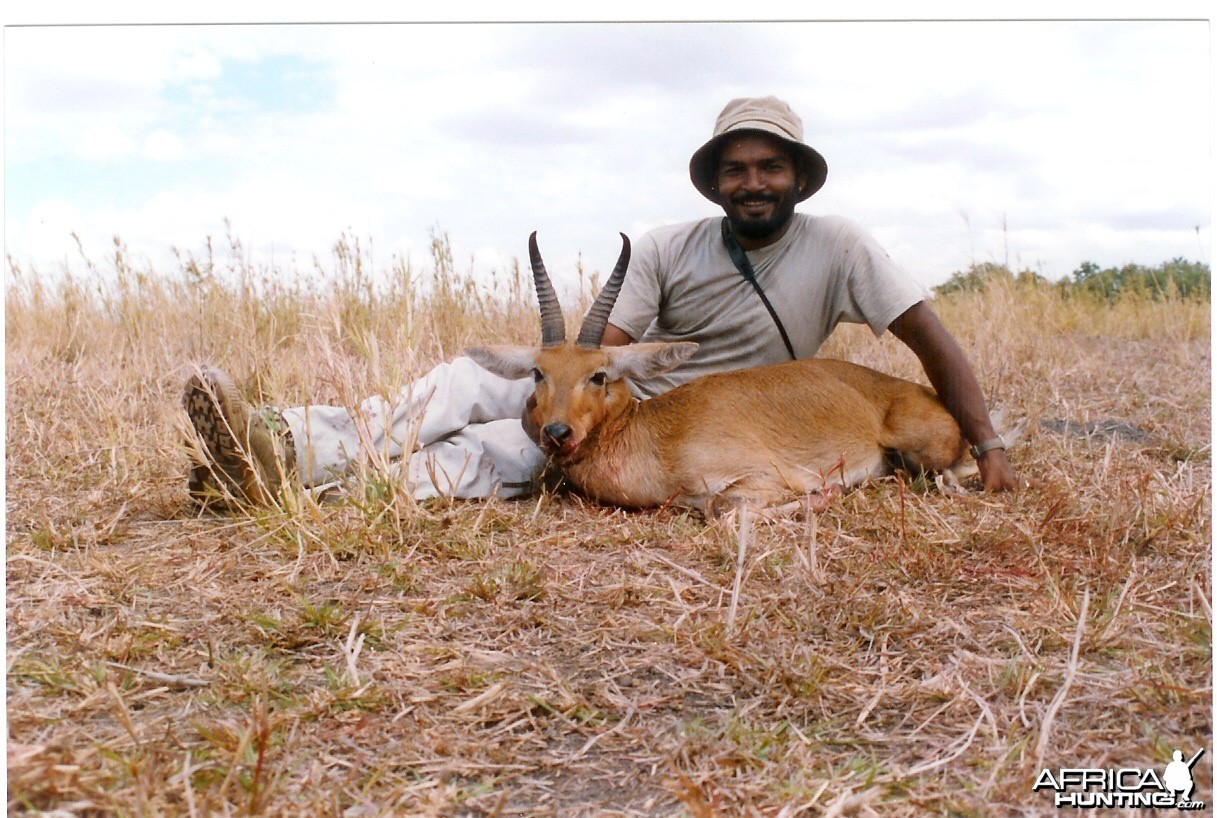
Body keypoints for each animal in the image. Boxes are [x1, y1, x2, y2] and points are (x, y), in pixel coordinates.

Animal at [464, 230, 978, 511]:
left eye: (599, 375)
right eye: (538, 373)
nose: (557, 432)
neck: (655, 435)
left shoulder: (763, 478)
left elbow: (721, 507)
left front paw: (824, 496)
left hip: (926, 452)